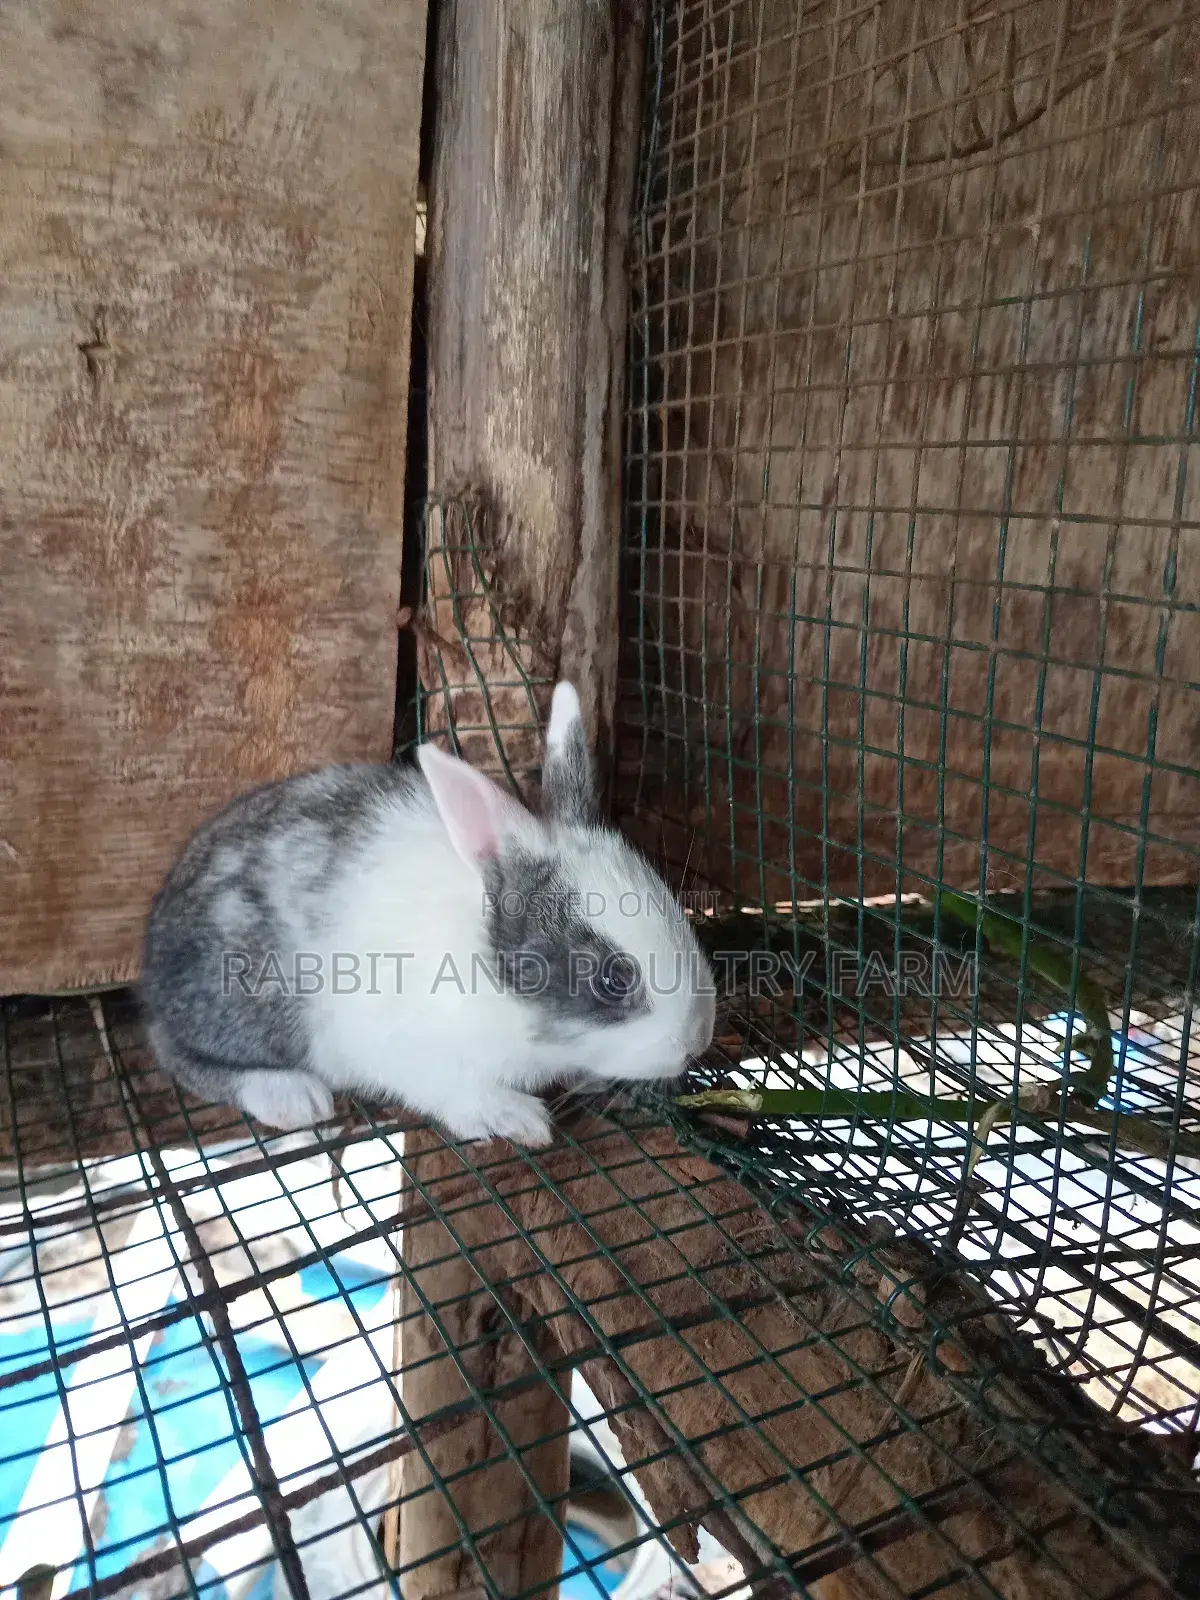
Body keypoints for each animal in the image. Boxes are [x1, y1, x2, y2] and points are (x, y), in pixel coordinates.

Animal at [140, 683, 716, 1148]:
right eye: (613, 980)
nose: (697, 1043)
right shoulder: (415, 1055)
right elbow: (461, 1094)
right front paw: (516, 1119)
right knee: (176, 1052)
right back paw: (290, 1095)